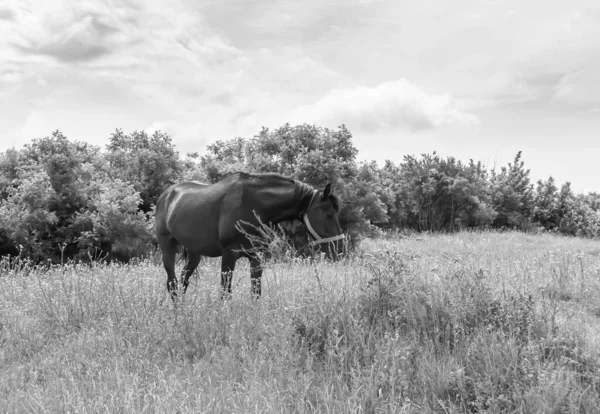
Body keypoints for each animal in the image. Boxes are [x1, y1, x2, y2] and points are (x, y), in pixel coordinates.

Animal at [152, 171, 344, 298]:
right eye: (329, 214)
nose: (339, 247)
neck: (252, 204)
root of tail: (166, 195)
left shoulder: (256, 257)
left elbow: (256, 292)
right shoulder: (229, 255)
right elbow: (225, 292)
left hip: (194, 253)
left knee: (183, 281)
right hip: (167, 246)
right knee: (172, 283)